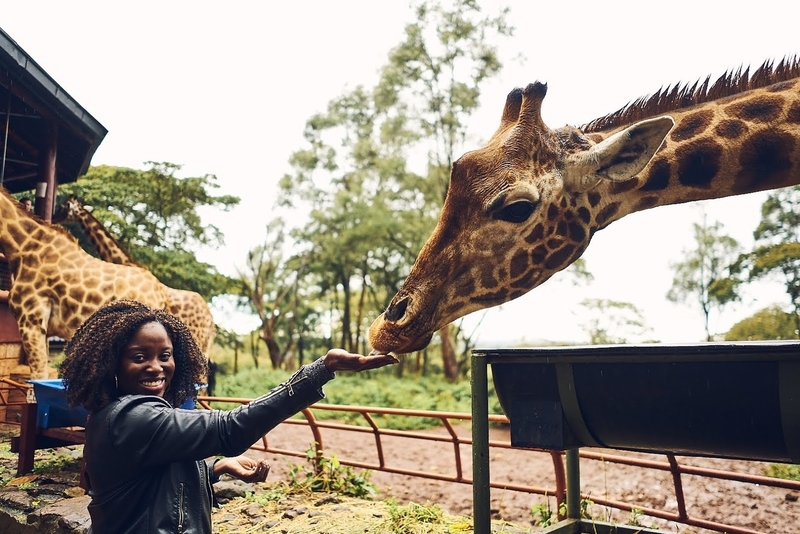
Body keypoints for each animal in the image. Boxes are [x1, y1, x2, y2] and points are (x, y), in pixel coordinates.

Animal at [0, 186, 169, 378]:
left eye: (64, 205)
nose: (55, 216)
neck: (22, 248)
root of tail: (160, 292)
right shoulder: (44, 329)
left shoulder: (30, 320)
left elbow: (38, 376)